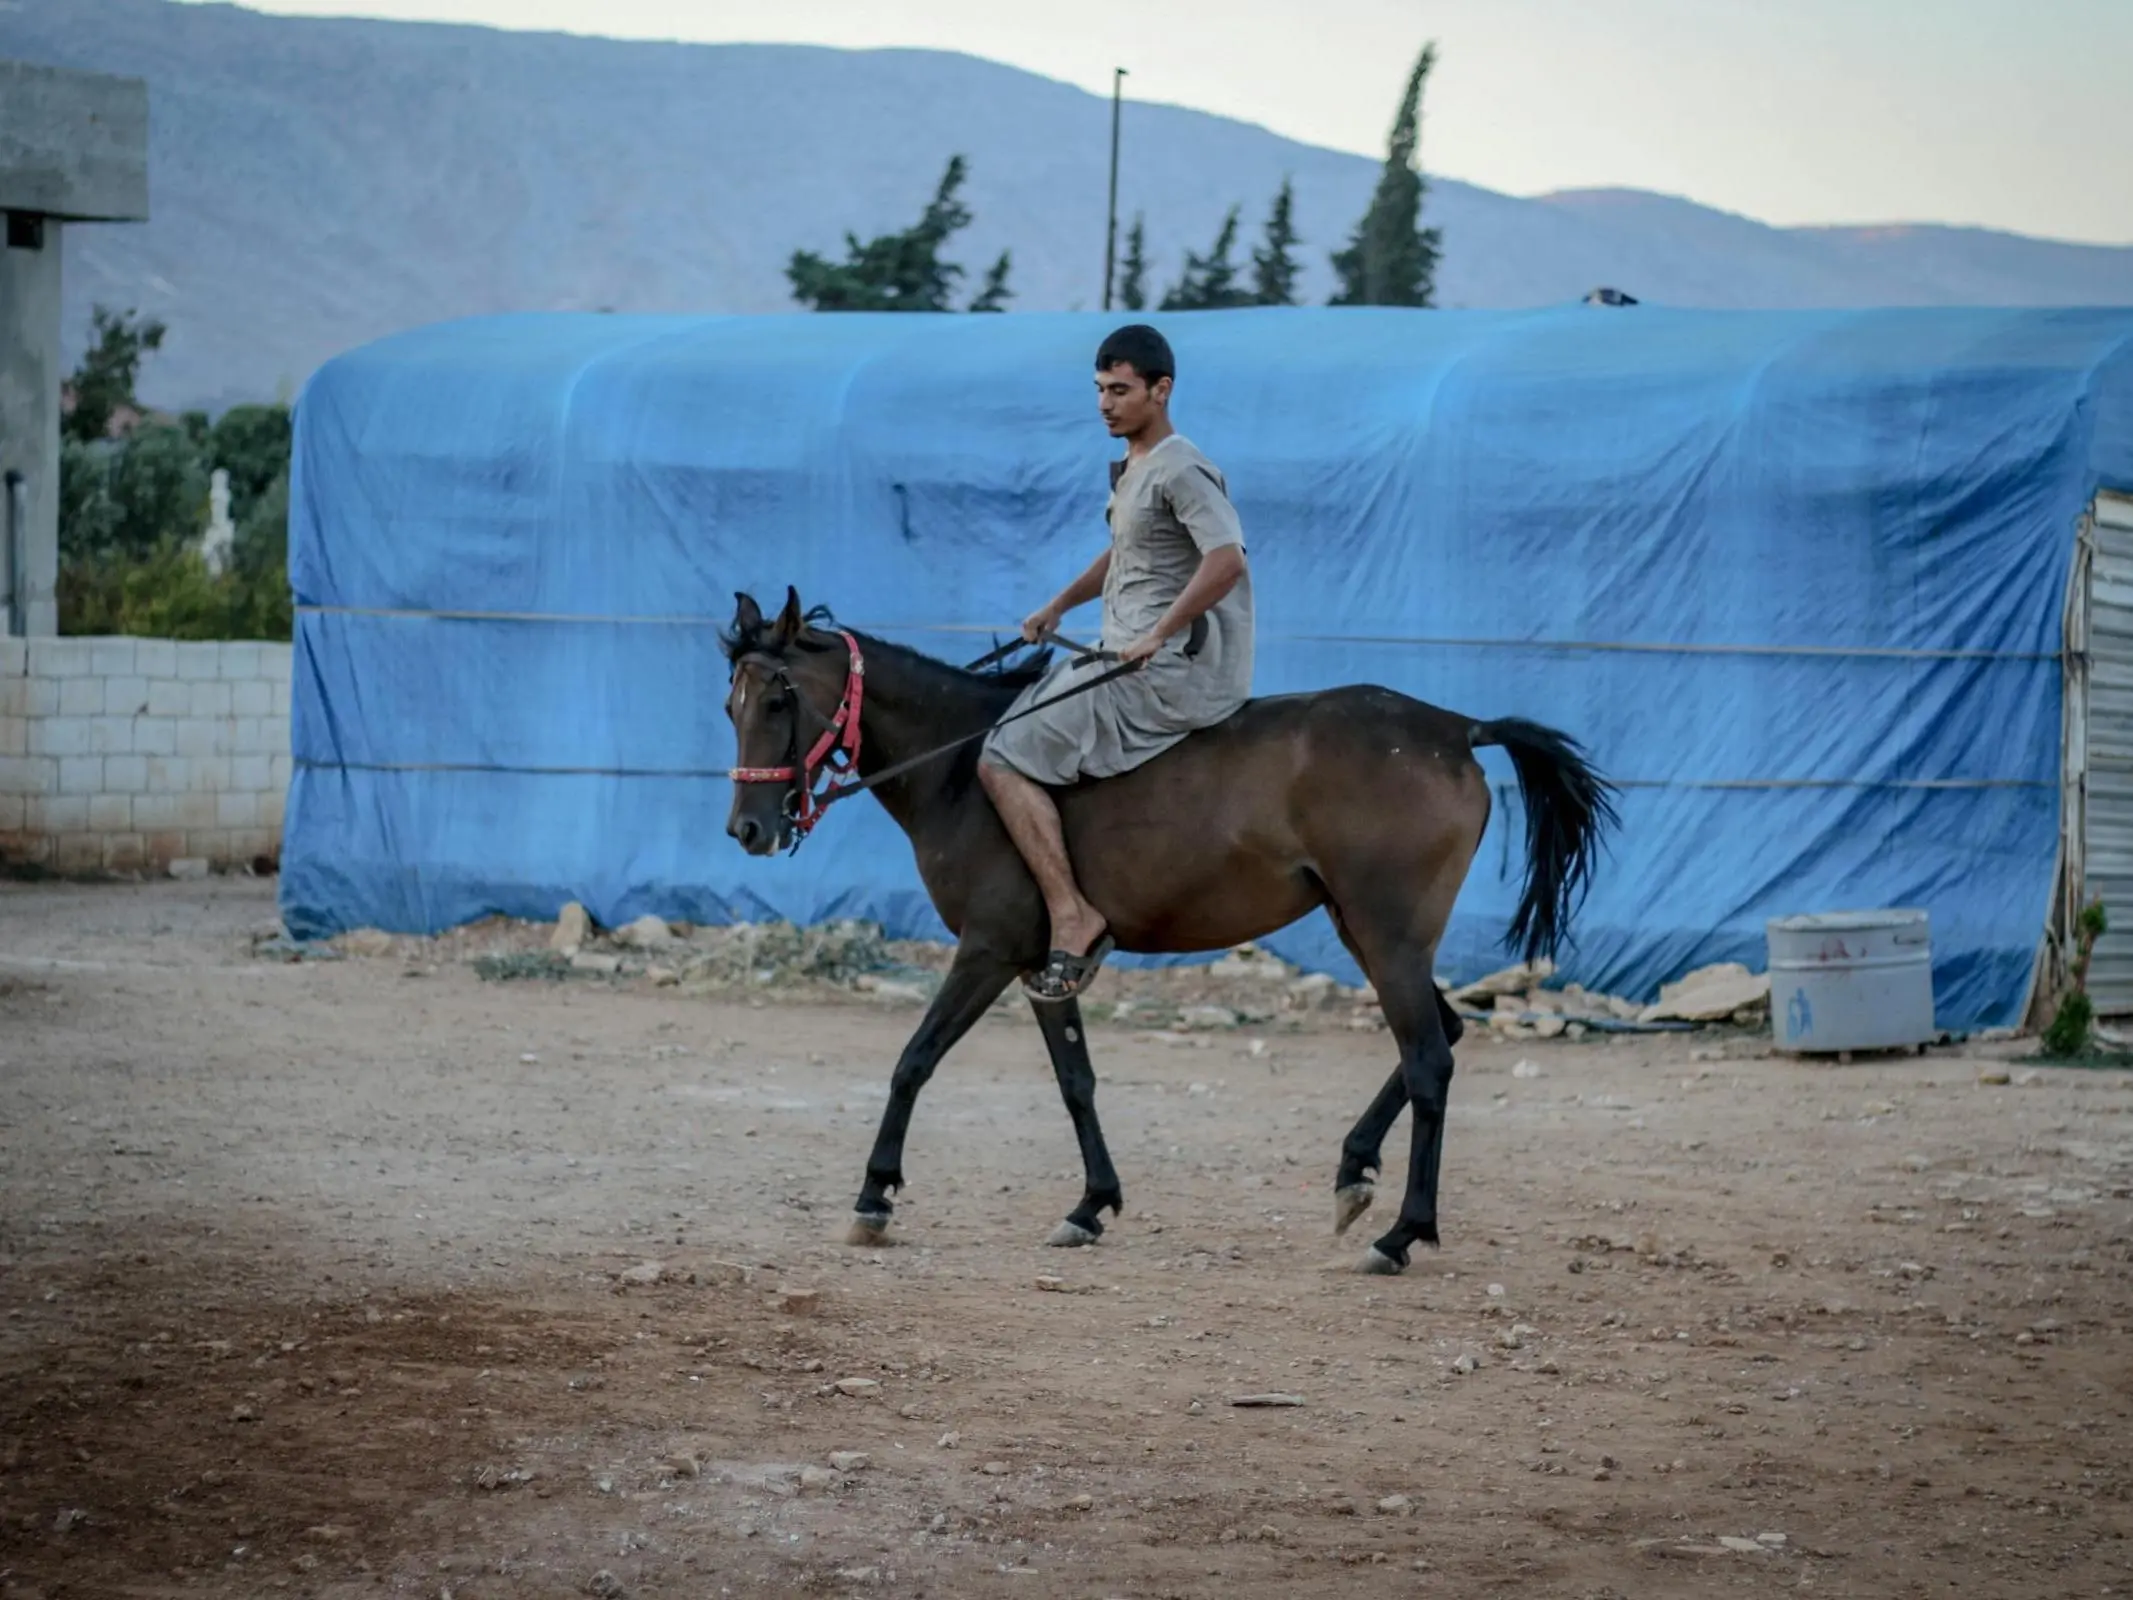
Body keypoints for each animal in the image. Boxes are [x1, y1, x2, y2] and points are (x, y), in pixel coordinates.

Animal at [716, 588, 1612, 1280]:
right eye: (731, 705)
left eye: (778, 701)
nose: (747, 831)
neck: (962, 769)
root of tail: (1455, 728)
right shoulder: (1044, 966)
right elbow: (1075, 1082)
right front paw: (1090, 1205)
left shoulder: (987, 951)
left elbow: (913, 1061)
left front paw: (874, 1196)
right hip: (1367, 932)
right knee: (1444, 1034)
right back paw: (1353, 1170)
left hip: (1386, 937)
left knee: (1428, 1059)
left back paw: (1399, 1234)